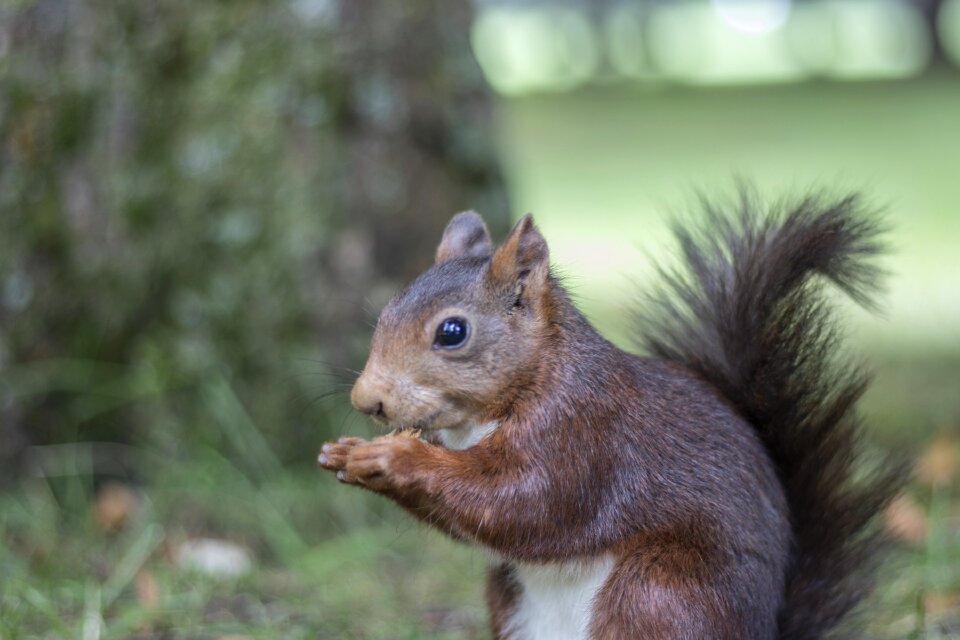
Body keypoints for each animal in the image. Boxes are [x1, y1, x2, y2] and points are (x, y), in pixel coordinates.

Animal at [316, 194, 900, 640]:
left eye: (452, 332)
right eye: (386, 311)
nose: (366, 400)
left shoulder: (583, 433)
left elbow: (523, 503)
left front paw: (393, 456)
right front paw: (346, 453)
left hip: (659, 593)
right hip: (513, 602)